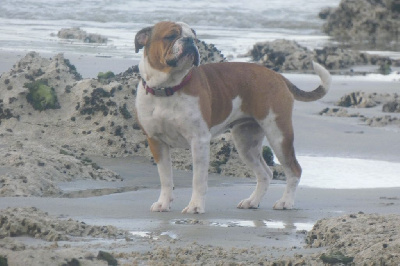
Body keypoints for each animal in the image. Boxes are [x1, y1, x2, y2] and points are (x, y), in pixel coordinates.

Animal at [134, 20, 332, 214]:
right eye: (171, 35)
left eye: (195, 37)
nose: (190, 41)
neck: (168, 89)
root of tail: (277, 75)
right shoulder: (156, 142)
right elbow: (165, 177)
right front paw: (163, 203)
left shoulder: (199, 141)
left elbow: (198, 179)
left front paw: (195, 206)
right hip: (246, 144)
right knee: (265, 173)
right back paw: (252, 201)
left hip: (279, 135)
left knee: (294, 170)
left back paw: (286, 202)